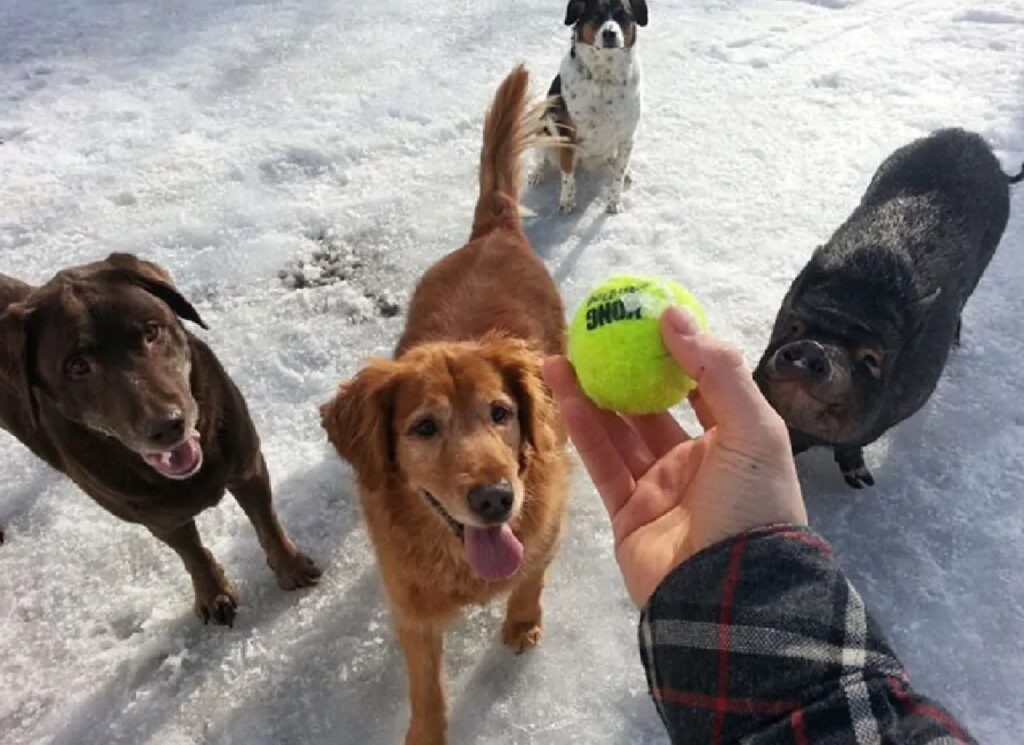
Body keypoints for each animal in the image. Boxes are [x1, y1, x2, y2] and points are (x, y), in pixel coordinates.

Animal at [532, 0, 643, 212]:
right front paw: (567, 200)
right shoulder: (567, 134)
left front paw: (614, 202)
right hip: (543, 126)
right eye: (596, 15)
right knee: (540, 157)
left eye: (623, 15)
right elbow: (567, 170)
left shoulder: (627, 136)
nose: (609, 34)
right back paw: (536, 174)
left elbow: (618, 175)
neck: (604, 78)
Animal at [753, 127, 1024, 489]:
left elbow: (854, 444)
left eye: (872, 358)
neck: (856, 301)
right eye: (794, 326)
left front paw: (862, 482)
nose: (813, 348)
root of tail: (973, 139)